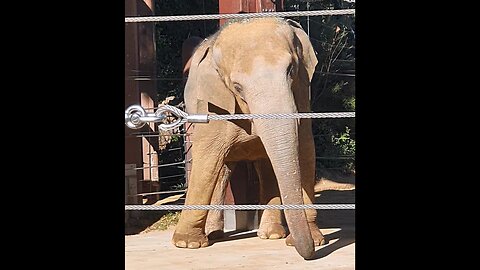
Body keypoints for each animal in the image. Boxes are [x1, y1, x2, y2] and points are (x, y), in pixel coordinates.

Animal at [172, 17, 322, 260]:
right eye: (237, 87)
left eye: (291, 69)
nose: (308, 254)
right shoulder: (213, 104)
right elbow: (207, 159)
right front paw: (187, 244)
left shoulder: (301, 92)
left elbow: (306, 151)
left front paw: (315, 240)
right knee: (221, 169)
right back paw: (214, 234)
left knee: (264, 167)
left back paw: (271, 234)